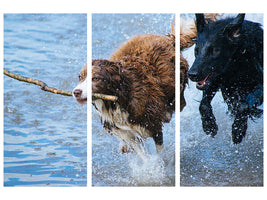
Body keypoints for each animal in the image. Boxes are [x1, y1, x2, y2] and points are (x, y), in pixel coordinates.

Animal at [189, 13, 264, 144]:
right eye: (196, 50)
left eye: (214, 51)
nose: (192, 74)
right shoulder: (216, 80)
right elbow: (203, 104)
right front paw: (209, 126)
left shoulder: (260, 84)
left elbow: (243, 105)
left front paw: (238, 130)